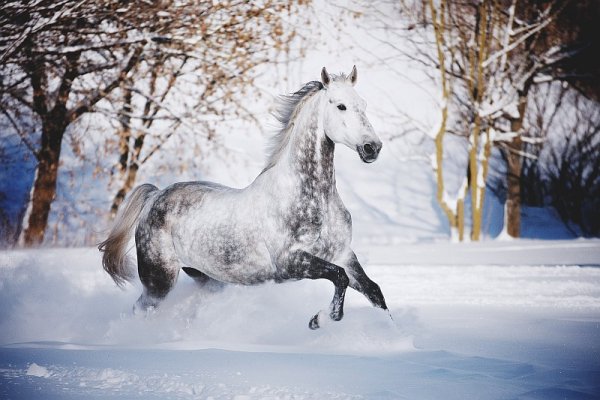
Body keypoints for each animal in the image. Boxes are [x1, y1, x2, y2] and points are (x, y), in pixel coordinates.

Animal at [98, 65, 390, 328]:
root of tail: (155, 196)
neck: (311, 199)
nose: (372, 148)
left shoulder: (343, 254)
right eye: (341, 106)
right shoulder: (290, 262)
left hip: (207, 276)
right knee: (140, 310)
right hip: (158, 279)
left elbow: (374, 291)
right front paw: (320, 320)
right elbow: (339, 278)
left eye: (363, 104)